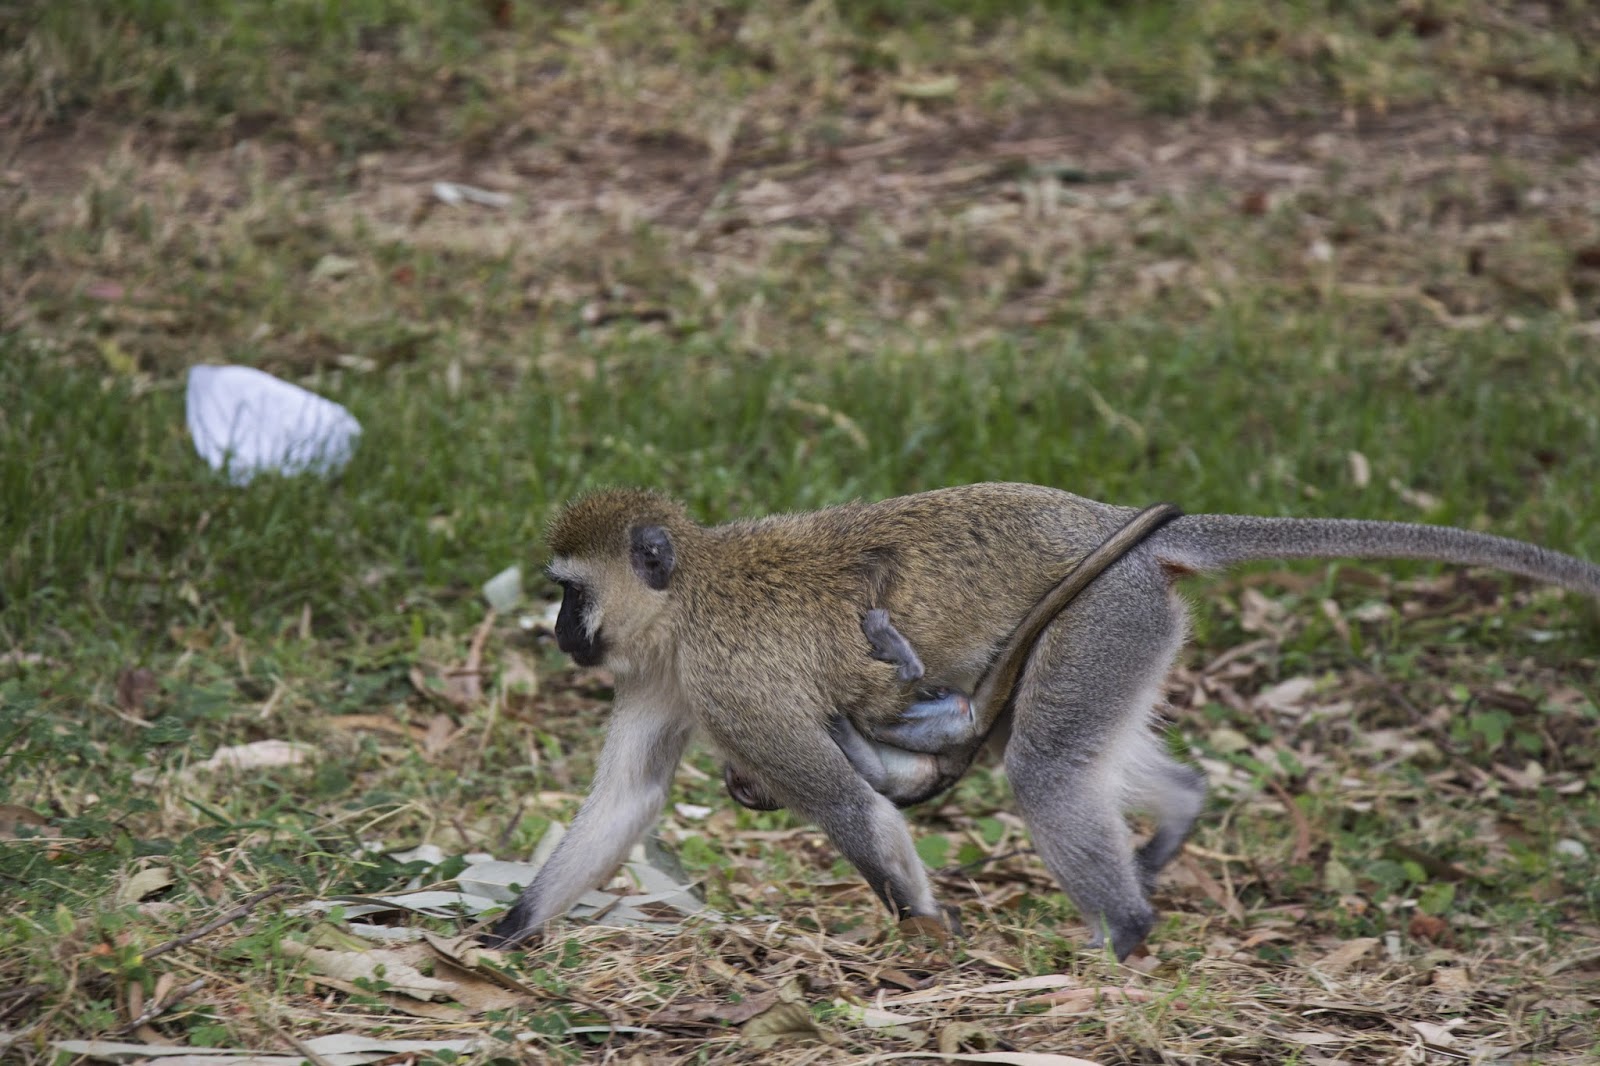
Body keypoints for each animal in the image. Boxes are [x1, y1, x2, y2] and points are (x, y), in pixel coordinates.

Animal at [484, 483, 1600, 960]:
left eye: (570, 593)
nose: (559, 632)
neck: (687, 601)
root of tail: (1114, 528)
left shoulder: (731, 688)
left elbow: (854, 815)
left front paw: (926, 942)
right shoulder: (664, 680)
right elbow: (627, 801)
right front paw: (505, 932)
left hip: (1101, 617)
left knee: (1050, 771)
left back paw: (1127, 937)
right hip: (1127, 629)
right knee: (1074, 751)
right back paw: (1179, 812)